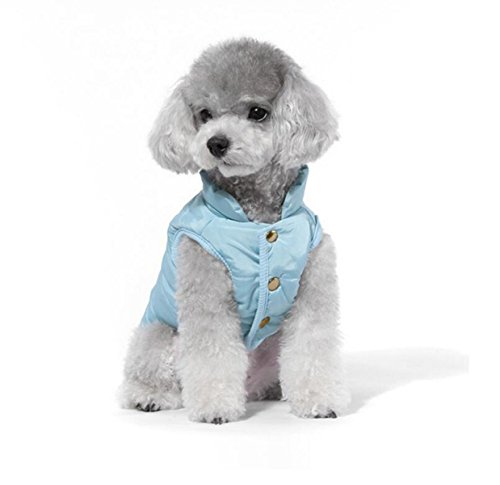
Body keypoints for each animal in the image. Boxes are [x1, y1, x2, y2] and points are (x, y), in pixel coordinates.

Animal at [120, 38, 350, 423]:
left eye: (257, 112)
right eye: (204, 114)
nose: (215, 143)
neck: (259, 221)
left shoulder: (313, 282)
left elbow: (312, 346)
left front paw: (319, 400)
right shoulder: (205, 285)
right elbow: (212, 353)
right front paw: (214, 407)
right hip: (159, 336)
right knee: (148, 372)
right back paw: (148, 396)